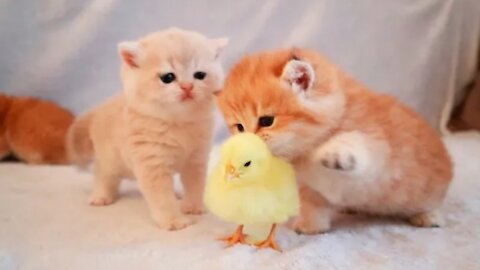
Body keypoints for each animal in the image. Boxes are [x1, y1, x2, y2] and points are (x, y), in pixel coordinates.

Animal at [66, 28, 229, 230]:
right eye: (168, 77)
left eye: (199, 75)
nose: (187, 87)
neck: (177, 123)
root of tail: (99, 108)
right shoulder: (152, 164)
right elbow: (162, 198)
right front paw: (173, 220)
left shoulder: (196, 159)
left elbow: (195, 185)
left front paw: (192, 207)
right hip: (109, 159)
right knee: (103, 174)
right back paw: (101, 196)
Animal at [216, 47, 452, 233]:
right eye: (239, 127)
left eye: (266, 121)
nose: (245, 147)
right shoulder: (308, 187)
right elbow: (313, 205)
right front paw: (310, 226)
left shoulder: (379, 150)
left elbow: (357, 142)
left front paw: (333, 152)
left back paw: (429, 217)